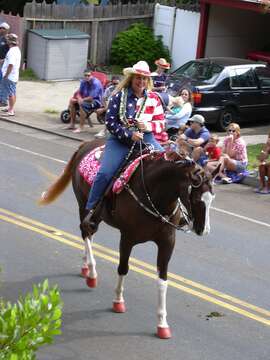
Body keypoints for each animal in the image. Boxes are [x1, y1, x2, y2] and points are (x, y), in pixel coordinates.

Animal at [39, 139, 216, 338]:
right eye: (197, 199)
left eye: (211, 199)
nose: (203, 230)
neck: (155, 195)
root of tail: (86, 143)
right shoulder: (127, 238)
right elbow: (123, 268)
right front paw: (118, 301)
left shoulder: (167, 242)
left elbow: (162, 280)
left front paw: (162, 324)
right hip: (83, 205)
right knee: (86, 231)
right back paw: (91, 273)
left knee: (89, 234)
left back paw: (85, 267)